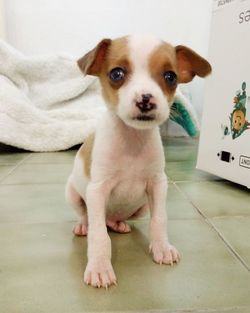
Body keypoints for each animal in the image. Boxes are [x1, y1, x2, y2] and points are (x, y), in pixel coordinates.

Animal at [65, 34, 211, 288]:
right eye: (116, 74)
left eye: (170, 76)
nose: (146, 99)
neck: (132, 140)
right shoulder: (97, 190)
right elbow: (99, 235)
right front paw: (99, 267)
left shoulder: (157, 185)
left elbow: (159, 220)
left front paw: (162, 247)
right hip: (73, 193)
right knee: (88, 217)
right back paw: (84, 225)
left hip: (141, 207)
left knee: (111, 221)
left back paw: (118, 224)